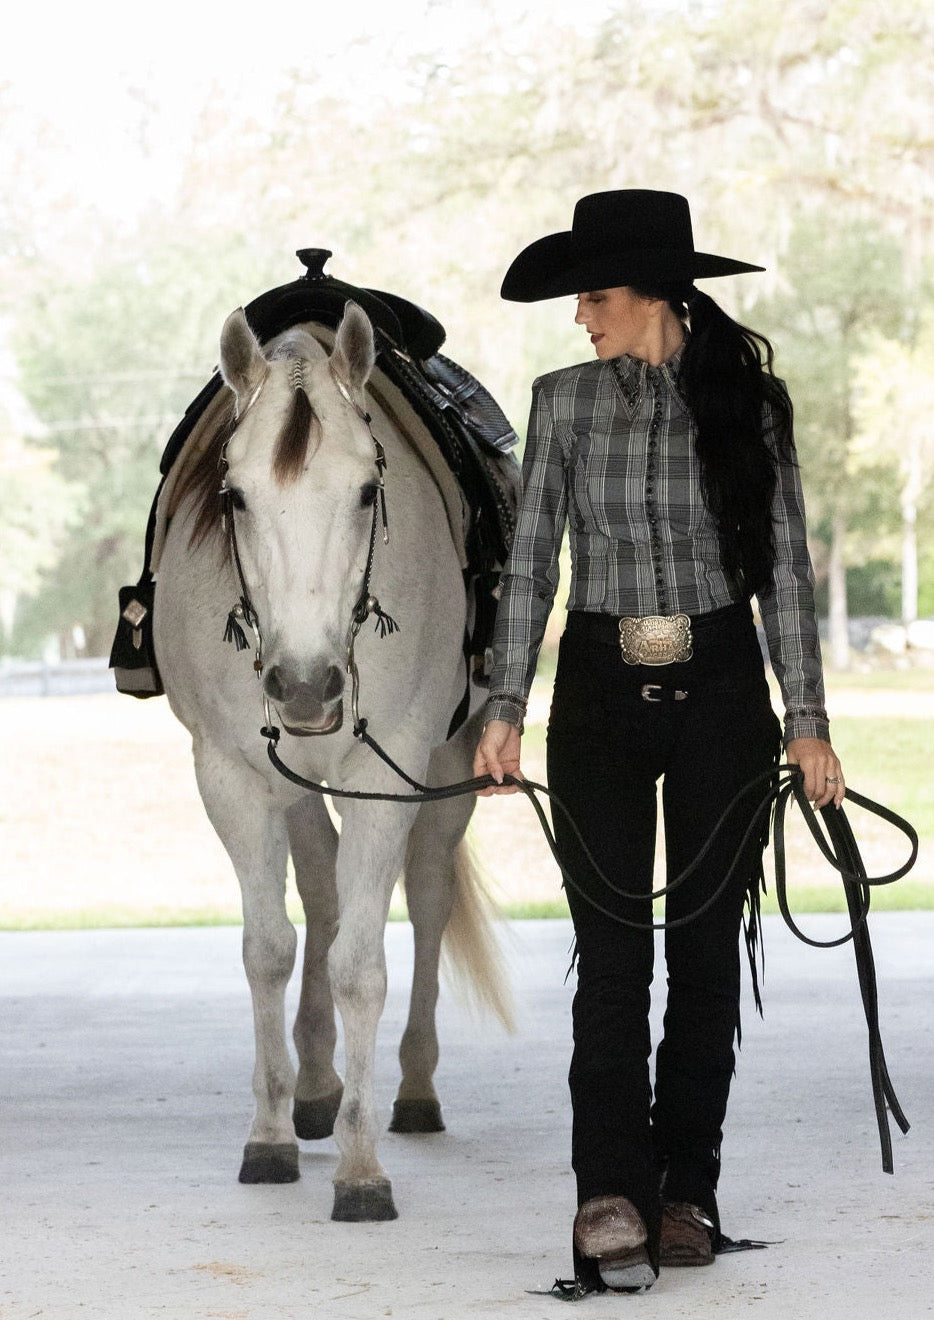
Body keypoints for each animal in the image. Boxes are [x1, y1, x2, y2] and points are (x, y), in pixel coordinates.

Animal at [156, 303, 514, 1219]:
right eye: (235, 494)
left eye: (364, 491)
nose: (307, 684)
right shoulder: (230, 777)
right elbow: (270, 949)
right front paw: (271, 1134)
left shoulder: (386, 779)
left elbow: (360, 965)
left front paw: (360, 1169)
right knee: (319, 897)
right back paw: (315, 1086)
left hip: (445, 767)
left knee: (426, 899)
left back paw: (413, 1090)